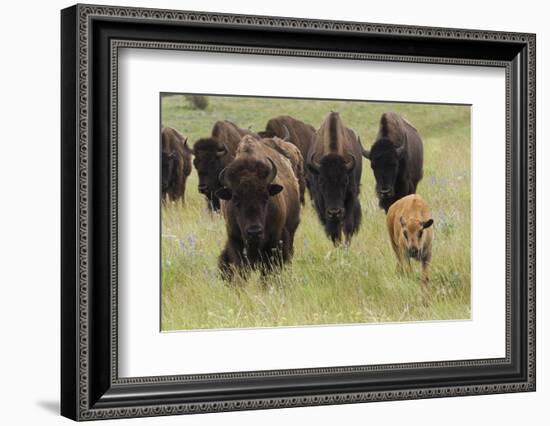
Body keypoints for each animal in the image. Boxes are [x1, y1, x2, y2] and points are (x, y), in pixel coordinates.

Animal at [308, 111, 364, 245]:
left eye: (345, 181)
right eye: (321, 182)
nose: (335, 212)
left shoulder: (350, 197)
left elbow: (348, 225)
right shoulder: (321, 202)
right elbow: (333, 229)